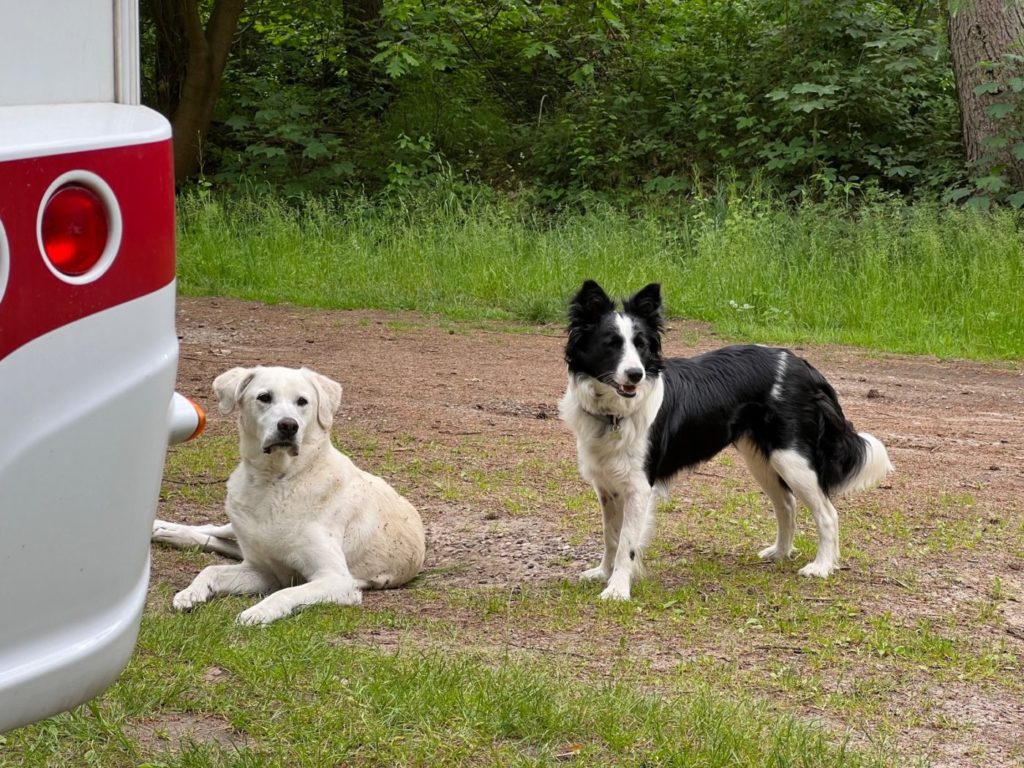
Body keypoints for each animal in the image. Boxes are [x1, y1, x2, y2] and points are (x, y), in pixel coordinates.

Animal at [150, 364, 423, 626]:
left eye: (302, 401)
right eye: (264, 397)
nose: (288, 425)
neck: (275, 481)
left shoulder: (335, 579)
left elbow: (285, 593)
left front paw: (257, 613)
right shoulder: (262, 570)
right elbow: (210, 570)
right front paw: (190, 592)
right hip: (238, 529)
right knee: (215, 530)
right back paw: (163, 529)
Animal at [557, 280, 892, 606]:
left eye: (641, 345)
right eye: (611, 344)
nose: (635, 374)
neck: (613, 412)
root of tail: (804, 366)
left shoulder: (639, 486)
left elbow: (626, 541)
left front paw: (617, 589)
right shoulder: (607, 484)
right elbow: (610, 536)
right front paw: (603, 573)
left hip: (792, 458)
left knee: (827, 513)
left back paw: (821, 566)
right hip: (762, 460)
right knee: (786, 504)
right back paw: (780, 552)